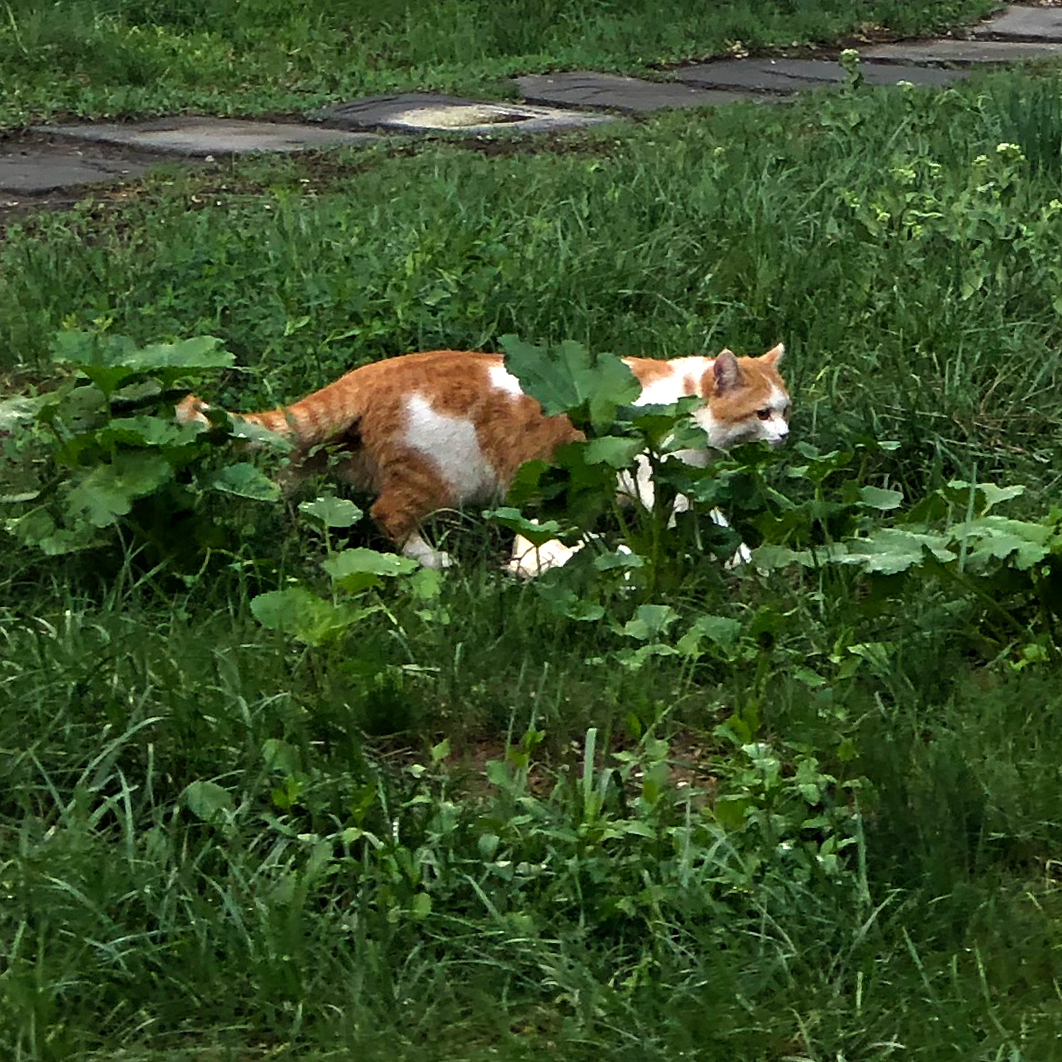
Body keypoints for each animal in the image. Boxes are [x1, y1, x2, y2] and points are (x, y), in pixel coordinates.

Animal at [176, 344, 790, 569]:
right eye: (763, 414)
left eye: (786, 410)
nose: (785, 436)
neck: (681, 404)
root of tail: (375, 371)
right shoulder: (655, 477)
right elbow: (707, 520)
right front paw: (745, 559)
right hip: (443, 475)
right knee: (386, 515)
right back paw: (435, 562)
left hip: (320, 461)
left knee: (280, 488)